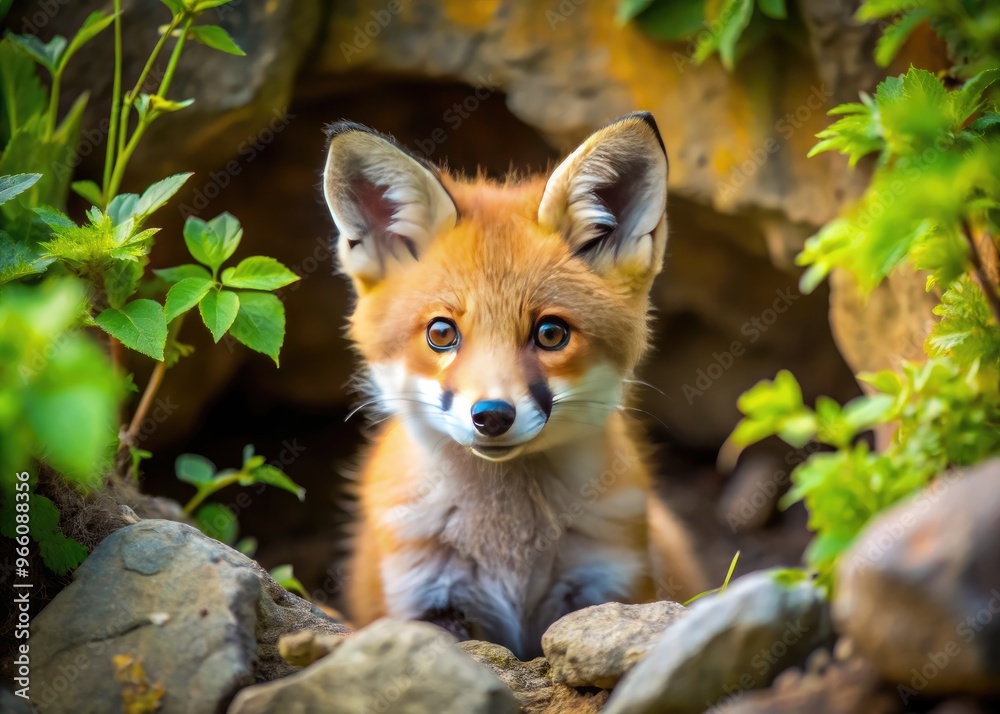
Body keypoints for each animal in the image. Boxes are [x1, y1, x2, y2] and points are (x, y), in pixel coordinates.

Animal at [322, 112, 705, 659]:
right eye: (441, 333)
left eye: (551, 333)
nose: (492, 416)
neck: (510, 551)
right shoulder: (424, 596)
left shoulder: (607, 583)